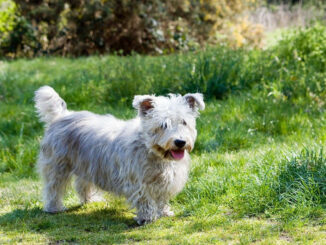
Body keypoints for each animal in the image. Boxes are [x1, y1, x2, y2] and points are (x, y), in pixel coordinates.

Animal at [35, 85, 204, 224]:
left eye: (184, 122)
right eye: (164, 125)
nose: (180, 142)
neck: (151, 150)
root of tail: (61, 116)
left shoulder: (165, 181)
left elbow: (161, 198)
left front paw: (164, 212)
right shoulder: (137, 181)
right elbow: (145, 199)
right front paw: (147, 217)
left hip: (86, 165)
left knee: (82, 185)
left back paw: (91, 200)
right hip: (57, 166)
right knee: (53, 188)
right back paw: (54, 208)